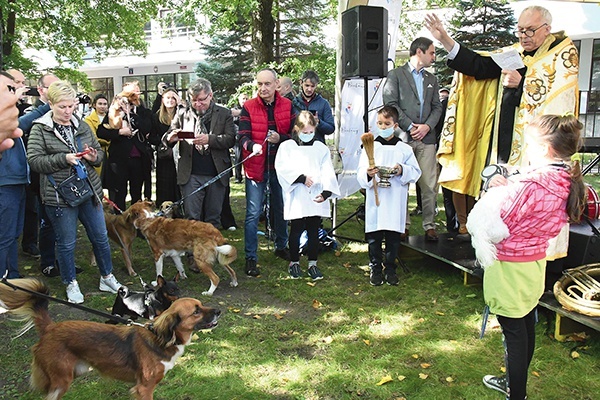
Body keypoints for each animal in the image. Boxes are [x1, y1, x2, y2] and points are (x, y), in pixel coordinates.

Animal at [0, 278, 220, 400]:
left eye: (201, 304)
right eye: (196, 311)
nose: (219, 311)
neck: (160, 338)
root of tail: (50, 327)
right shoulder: (144, 388)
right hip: (61, 381)